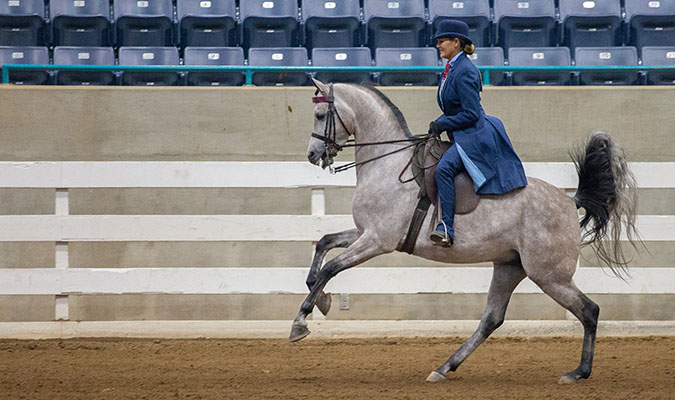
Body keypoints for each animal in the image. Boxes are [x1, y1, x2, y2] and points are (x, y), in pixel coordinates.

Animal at [290, 79, 640, 384]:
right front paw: (322, 300)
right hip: (510, 267)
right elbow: (323, 245)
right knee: (492, 319)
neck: (386, 165)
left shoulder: (377, 240)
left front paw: (302, 321)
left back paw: (578, 373)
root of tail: (570, 201)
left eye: (320, 115)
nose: (312, 155)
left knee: (589, 311)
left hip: (549, 276)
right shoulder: (365, 232)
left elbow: (332, 267)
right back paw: (444, 368)